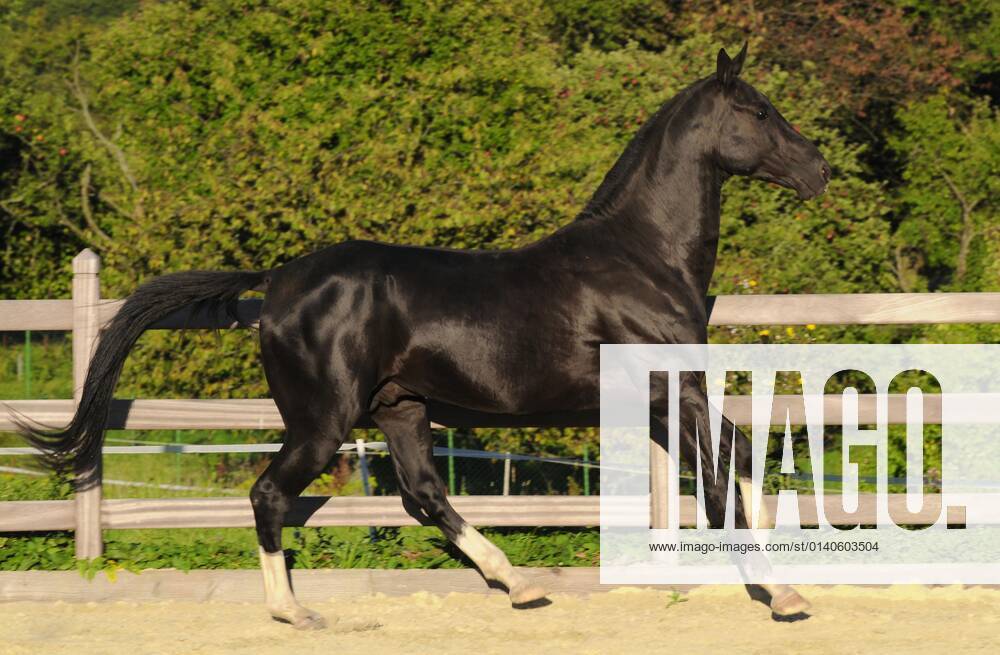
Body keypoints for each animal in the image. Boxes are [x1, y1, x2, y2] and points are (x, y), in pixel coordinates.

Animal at [18, 44, 830, 628]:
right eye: (758, 110)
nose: (820, 169)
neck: (640, 258)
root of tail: (279, 279)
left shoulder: (662, 402)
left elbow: (733, 462)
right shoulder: (676, 389)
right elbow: (727, 470)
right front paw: (783, 592)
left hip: (400, 408)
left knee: (422, 494)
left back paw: (518, 583)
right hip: (323, 421)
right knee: (270, 493)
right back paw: (293, 610)